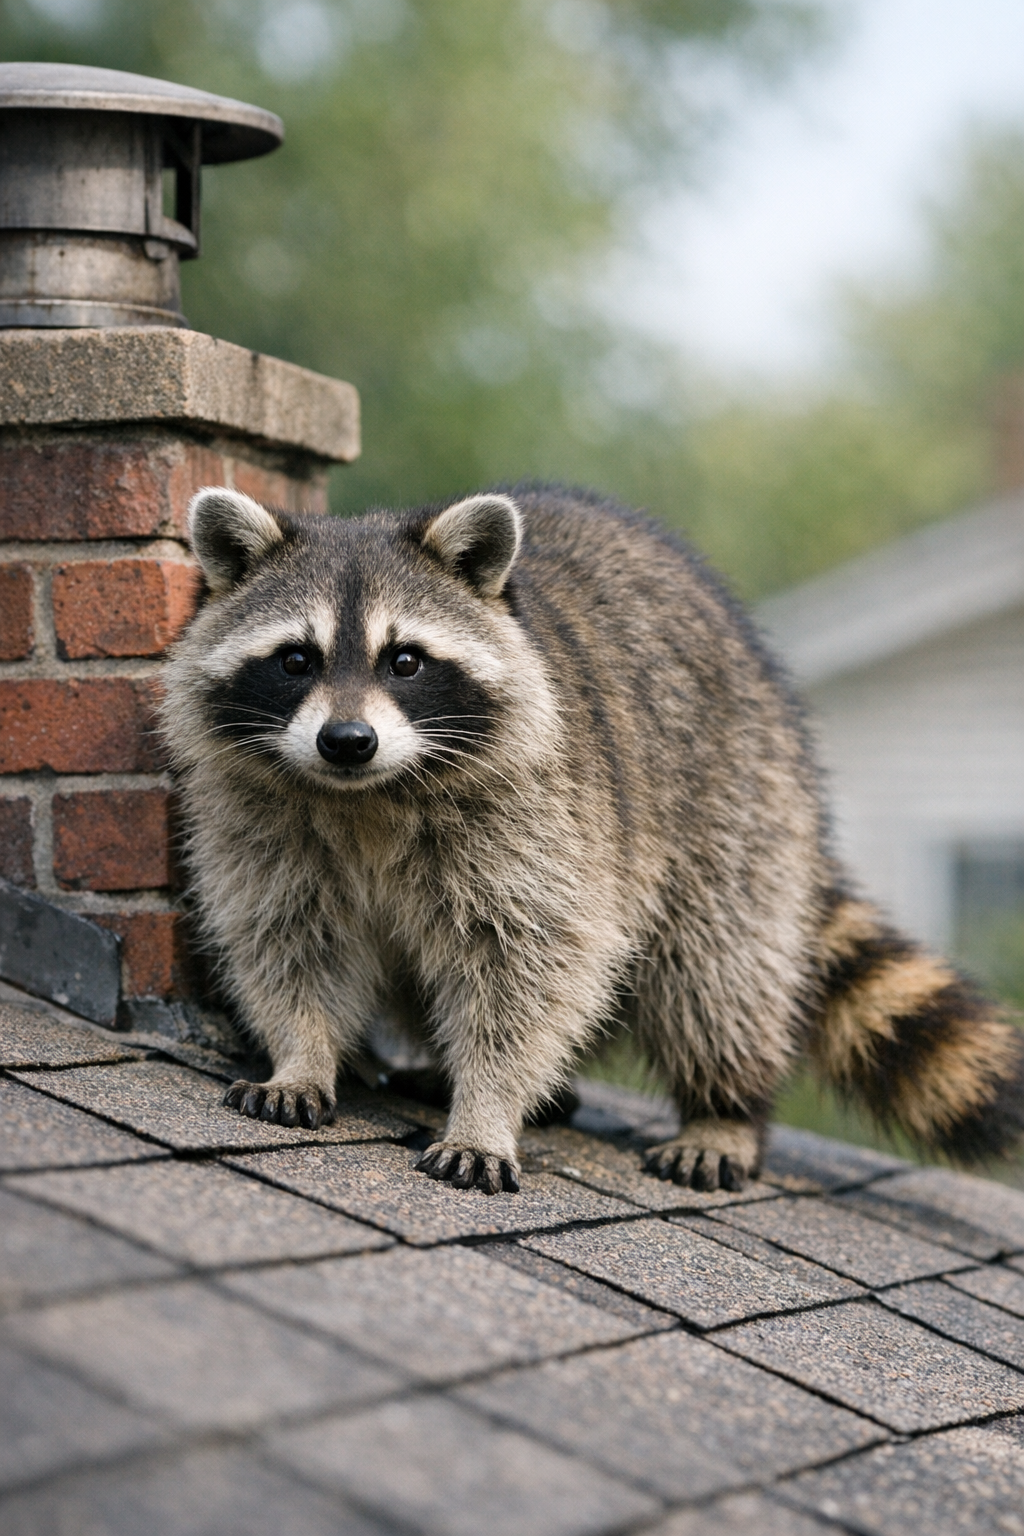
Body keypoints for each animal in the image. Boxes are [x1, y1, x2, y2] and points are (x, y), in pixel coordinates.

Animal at [161, 482, 1024, 1194]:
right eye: (295, 660)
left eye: (404, 660)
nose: (346, 741)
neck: (368, 797)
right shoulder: (260, 820)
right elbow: (288, 937)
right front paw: (302, 1054)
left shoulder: (539, 817)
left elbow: (530, 965)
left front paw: (488, 1108)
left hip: (737, 804)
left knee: (718, 971)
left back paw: (724, 1107)